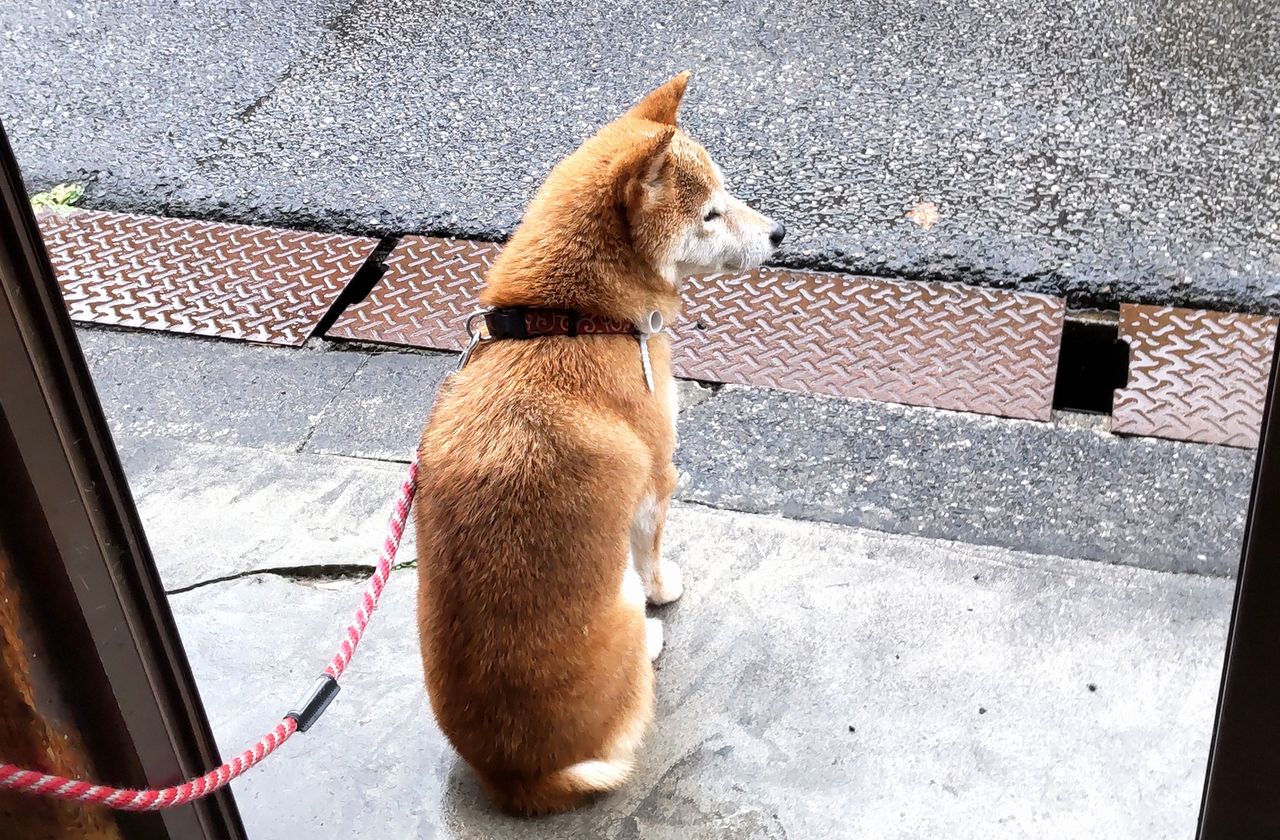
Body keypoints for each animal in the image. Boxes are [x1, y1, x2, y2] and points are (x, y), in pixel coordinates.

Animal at [414, 72, 783, 814]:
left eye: (725, 196)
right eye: (711, 213)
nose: (780, 234)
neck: (571, 321)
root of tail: (519, 777)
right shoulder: (654, 481)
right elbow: (655, 552)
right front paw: (667, 588)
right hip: (618, 605)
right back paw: (653, 636)